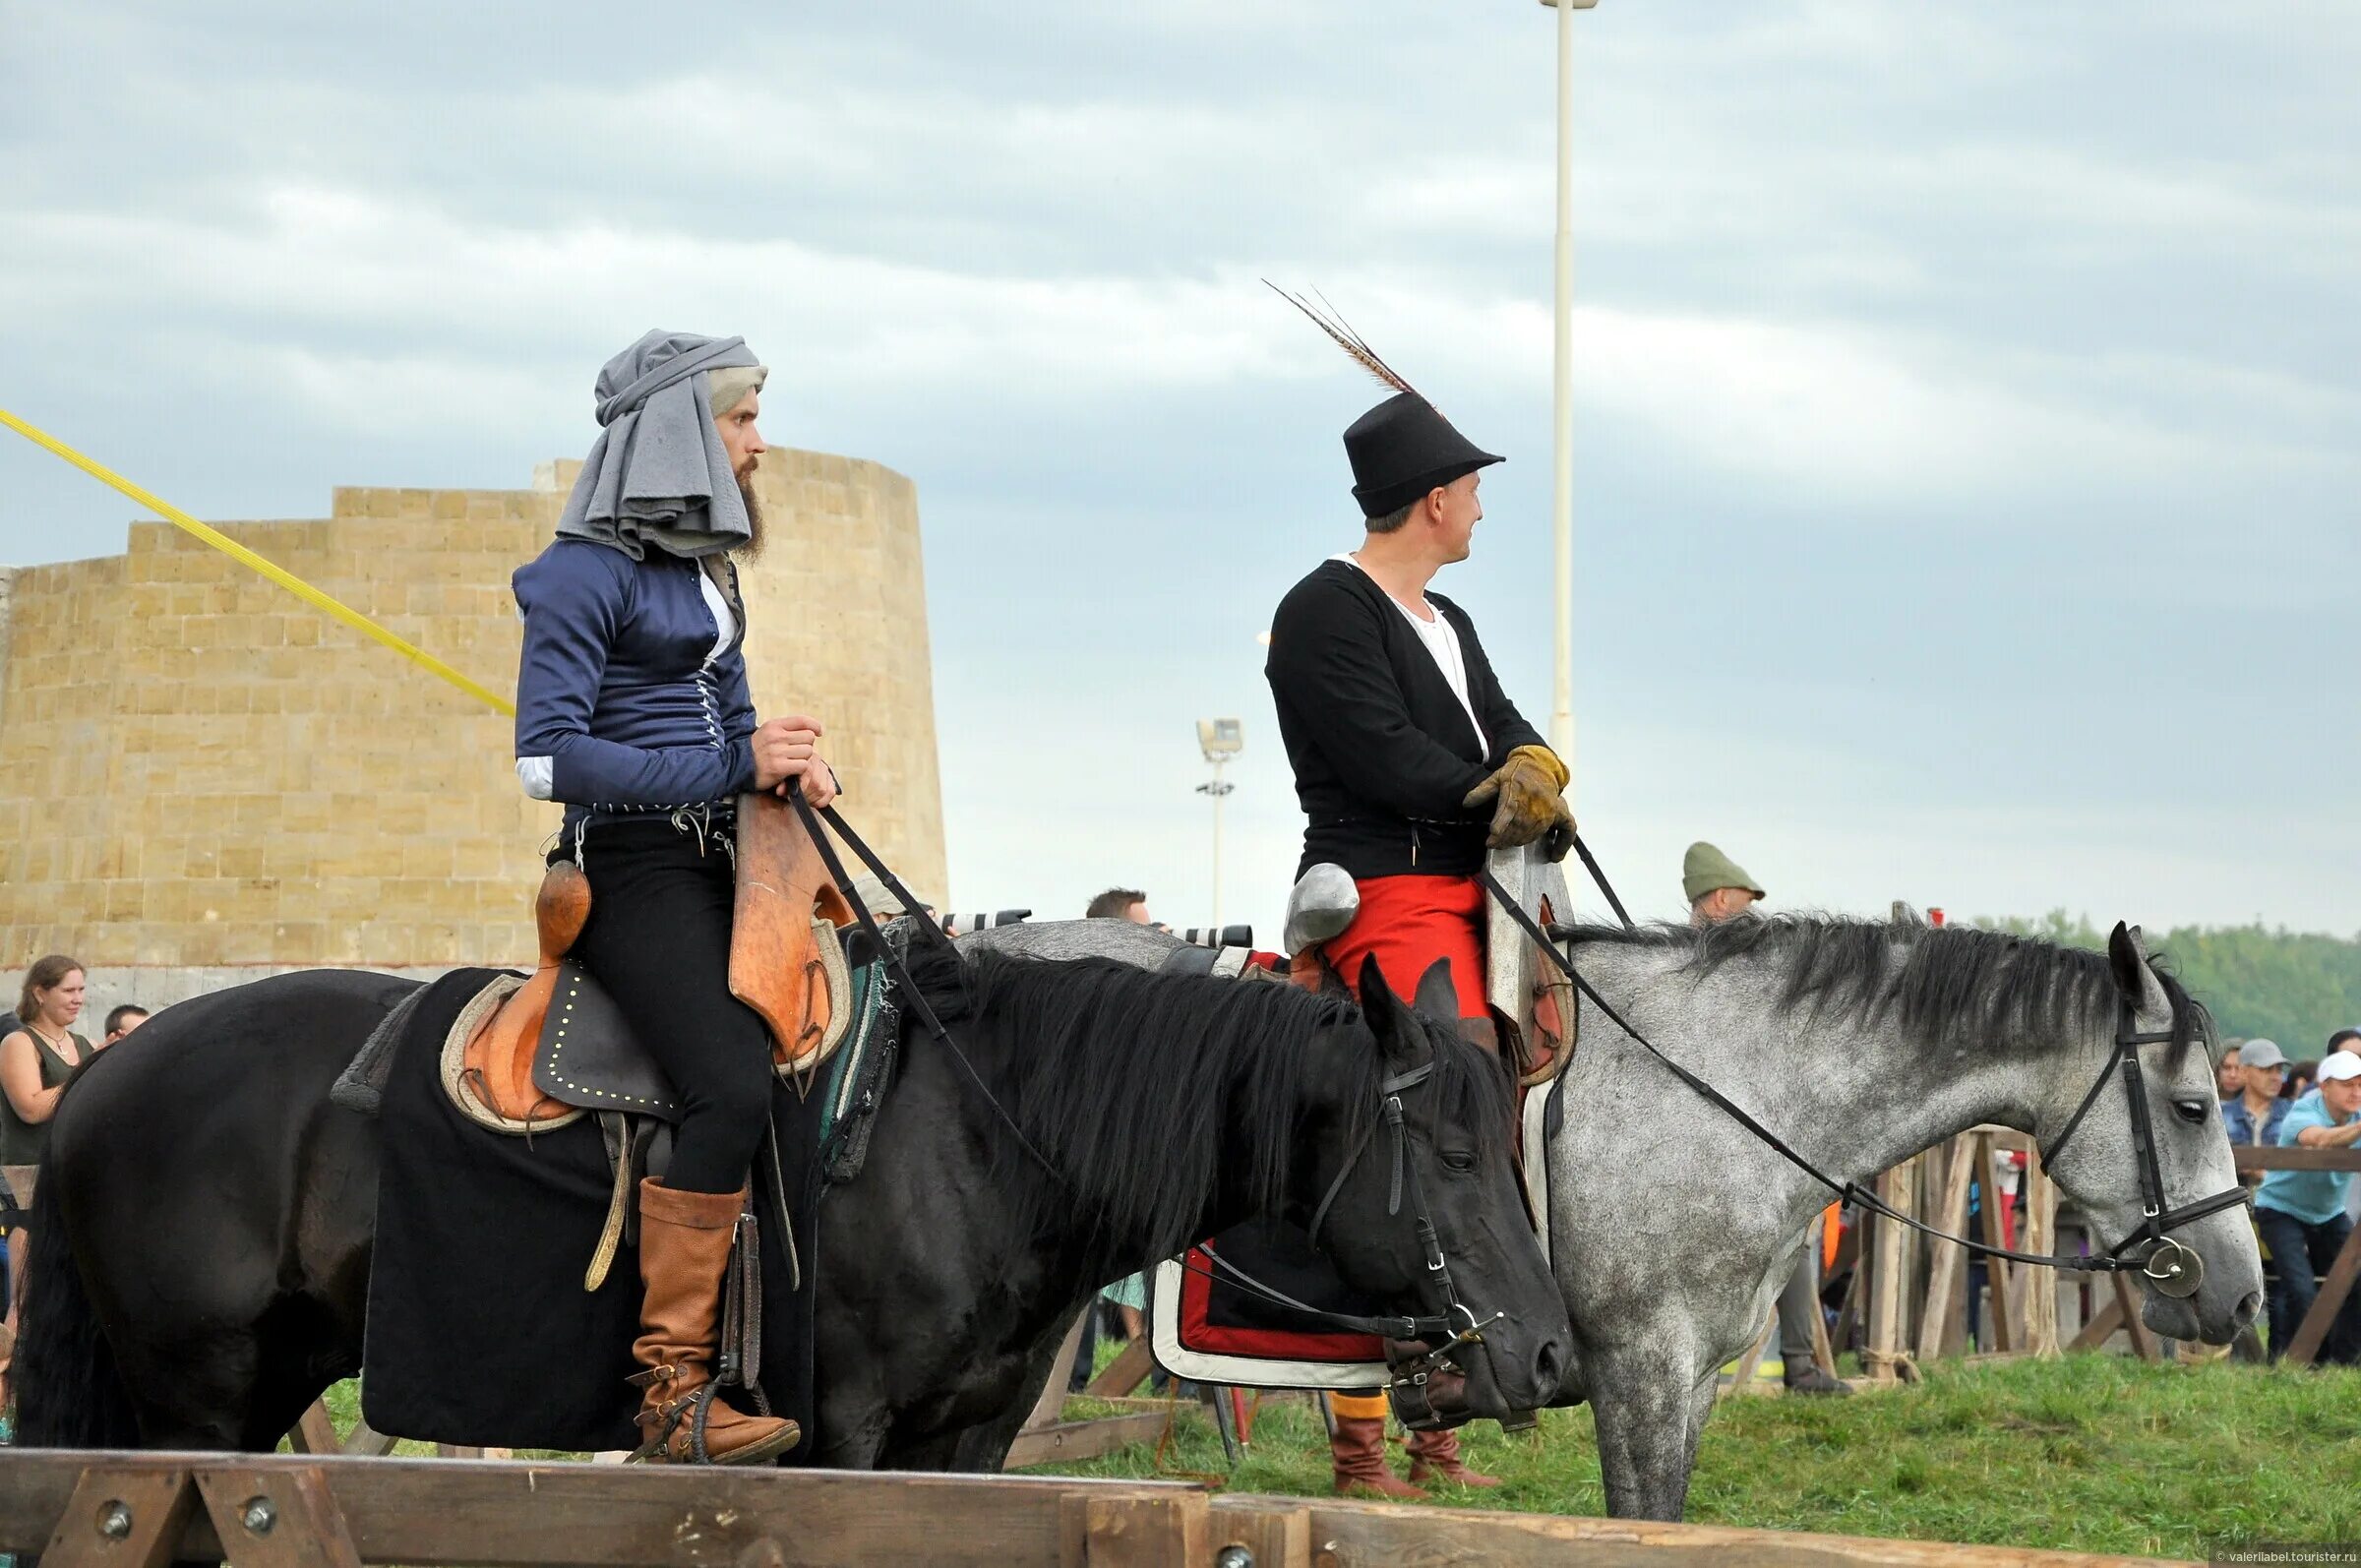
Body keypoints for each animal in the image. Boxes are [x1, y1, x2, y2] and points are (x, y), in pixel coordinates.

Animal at [23, 935, 1567, 1464]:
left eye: (1514, 1146)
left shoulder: (967, 1443)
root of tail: (106, 1070)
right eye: (1446, 1151)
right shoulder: (846, 1430)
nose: (1551, 1354)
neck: (981, 1135)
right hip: (191, 1400)